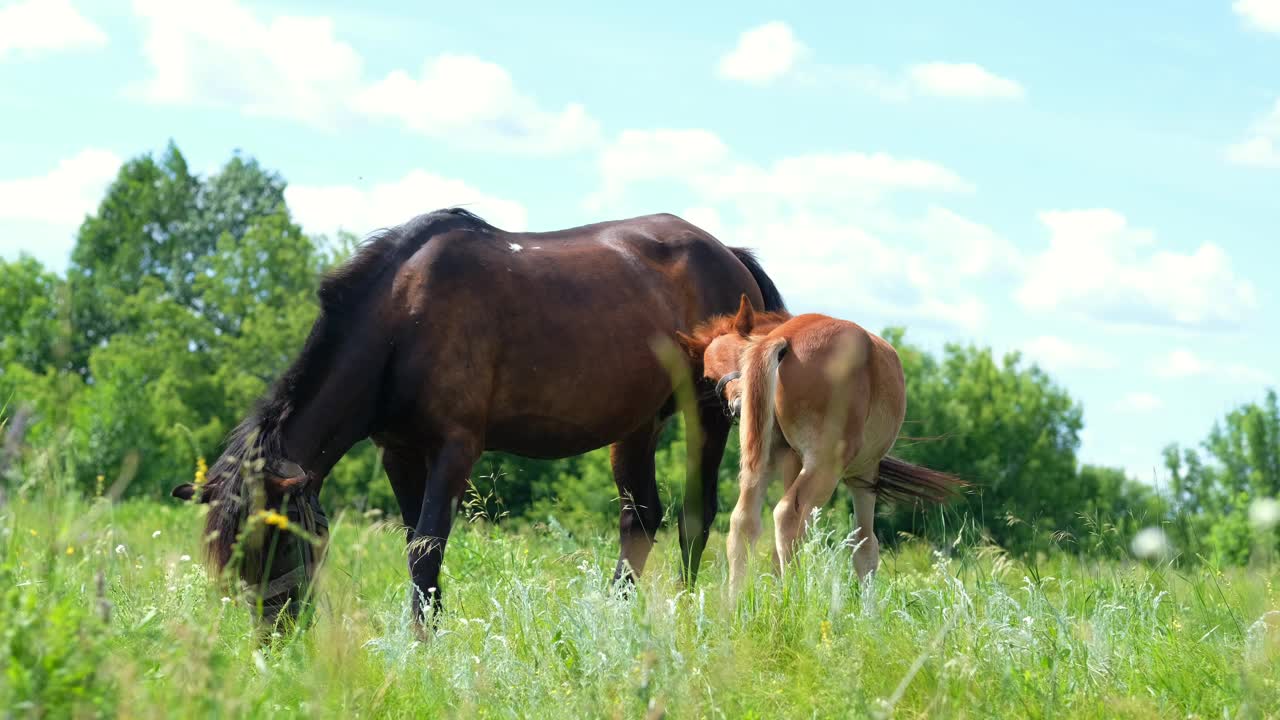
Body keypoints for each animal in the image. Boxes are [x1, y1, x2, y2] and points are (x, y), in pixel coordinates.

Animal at [174, 206, 783, 622]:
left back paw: (685, 611)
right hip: (635, 425)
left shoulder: (455, 447)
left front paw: (421, 646)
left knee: (695, 516)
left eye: (276, 539)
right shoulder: (398, 451)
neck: (404, 318)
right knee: (641, 517)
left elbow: (427, 548)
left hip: (707, 414)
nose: (274, 633)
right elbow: (415, 547)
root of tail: (729, 254)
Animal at [680, 294, 962, 591]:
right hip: (826, 467)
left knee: (743, 522)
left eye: (742, 353)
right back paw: (792, 595)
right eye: (710, 377)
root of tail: (784, 339)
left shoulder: (791, 462)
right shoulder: (865, 474)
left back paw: (733, 601)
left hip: (761, 466)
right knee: (787, 517)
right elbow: (865, 548)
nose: (737, 407)